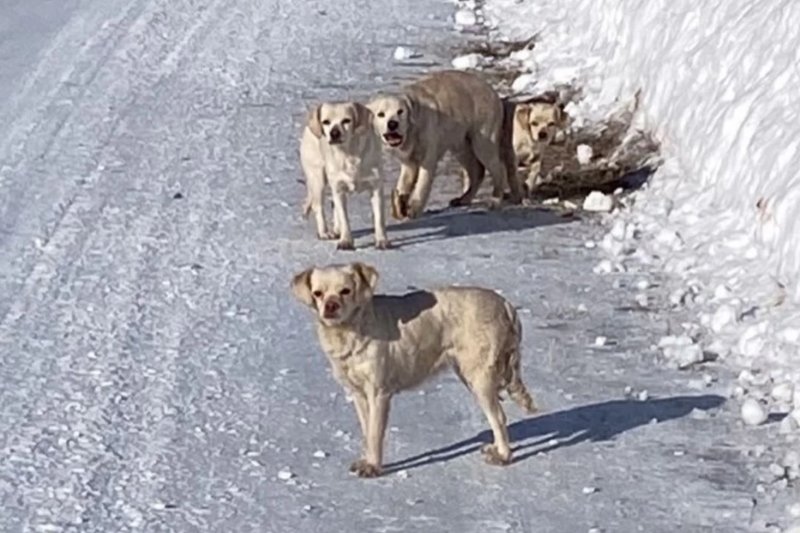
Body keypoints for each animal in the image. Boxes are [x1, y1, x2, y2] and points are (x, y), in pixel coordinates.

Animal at [298, 101, 390, 250]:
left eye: (346, 120)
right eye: (326, 122)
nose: (334, 133)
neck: (349, 154)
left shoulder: (376, 188)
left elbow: (379, 219)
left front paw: (382, 241)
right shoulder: (339, 188)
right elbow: (344, 219)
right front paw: (346, 241)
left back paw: (336, 230)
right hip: (318, 179)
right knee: (319, 206)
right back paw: (324, 233)